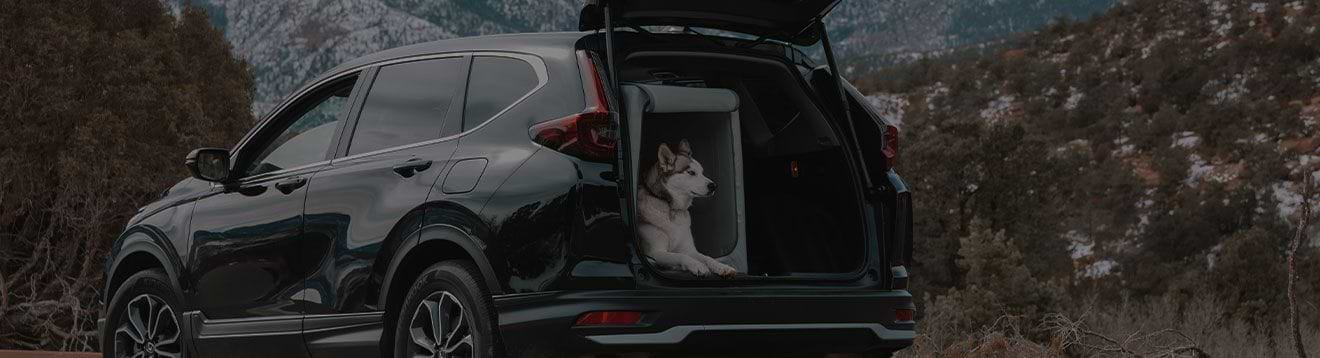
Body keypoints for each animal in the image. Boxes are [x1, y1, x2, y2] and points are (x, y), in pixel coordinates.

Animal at [636, 140, 739, 277]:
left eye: (702, 172)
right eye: (691, 172)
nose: (714, 186)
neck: (672, 208)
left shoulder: (689, 250)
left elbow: (707, 257)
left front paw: (721, 266)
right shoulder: (655, 253)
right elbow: (679, 256)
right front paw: (697, 265)